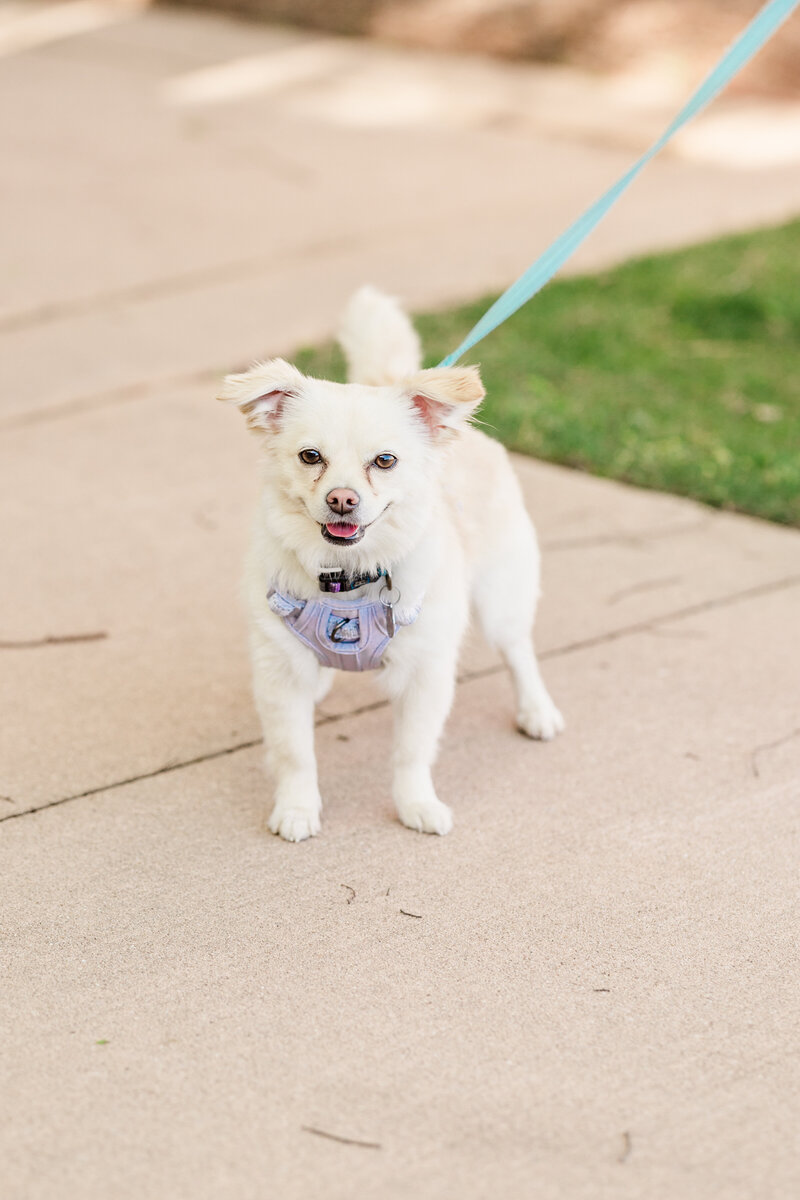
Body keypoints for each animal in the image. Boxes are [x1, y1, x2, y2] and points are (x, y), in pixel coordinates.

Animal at [221, 285, 566, 840]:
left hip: (501, 598)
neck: (347, 578)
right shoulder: (281, 671)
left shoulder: (425, 672)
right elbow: (295, 752)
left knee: (519, 651)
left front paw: (415, 805)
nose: (342, 500)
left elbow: (412, 751)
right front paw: (297, 808)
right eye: (310, 456)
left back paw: (537, 710)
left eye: (385, 461)